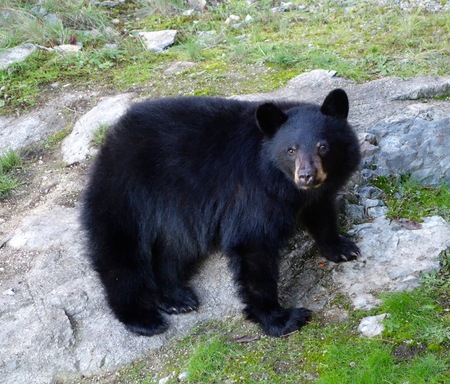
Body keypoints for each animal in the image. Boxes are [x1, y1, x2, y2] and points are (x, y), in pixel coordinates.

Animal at [81, 88, 362, 338]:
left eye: (323, 146)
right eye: (290, 150)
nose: (307, 176)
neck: (282, 182)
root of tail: (112, 138)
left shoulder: (314, 194)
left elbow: (322, 213)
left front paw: (342, 248)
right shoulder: (253, 192)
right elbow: (252, 244)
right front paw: (281, 318)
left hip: (177, 212)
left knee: (173, 249)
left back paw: (176, 298)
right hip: (127, 191)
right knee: (120, 253)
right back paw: (142, 318)